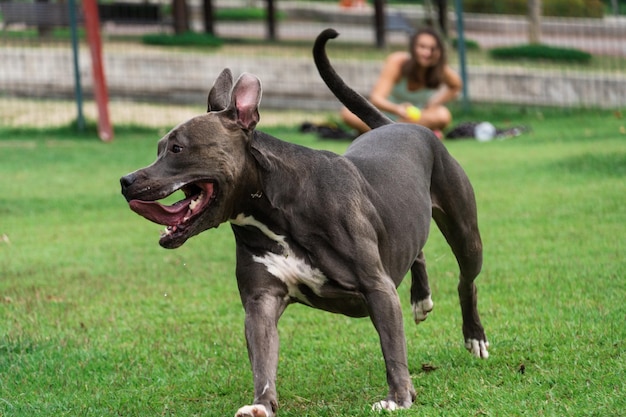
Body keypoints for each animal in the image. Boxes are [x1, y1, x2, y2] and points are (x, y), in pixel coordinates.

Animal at [118, 27, 488, 414]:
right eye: (159, 147)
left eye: (177, 148)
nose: (126, 181)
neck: (275, 210)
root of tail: (401, 125)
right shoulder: (261, 300)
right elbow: (263, 359)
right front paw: (261, 404)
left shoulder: (378, 288)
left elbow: (392, 348)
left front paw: (398, 397)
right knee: (417, 250)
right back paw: (421, 299)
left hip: (465, 232)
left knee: (466, 280)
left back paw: (474, 336)